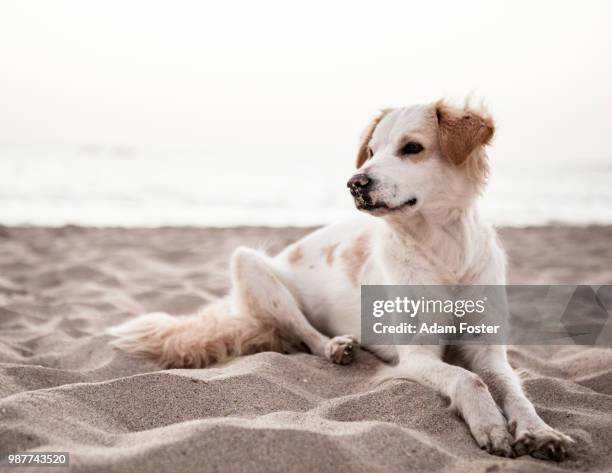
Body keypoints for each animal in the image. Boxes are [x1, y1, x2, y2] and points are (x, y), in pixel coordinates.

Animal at [109, 98, 572, 458]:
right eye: (371, 150)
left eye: (412, 148)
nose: (355, 183)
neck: (444, 249)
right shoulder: (416, 356)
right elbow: (468, 379)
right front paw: (490, 426)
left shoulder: (489, 350)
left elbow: (513, 390)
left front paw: (540, 432)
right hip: (249, 264)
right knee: (301, 333)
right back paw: (336, 347)